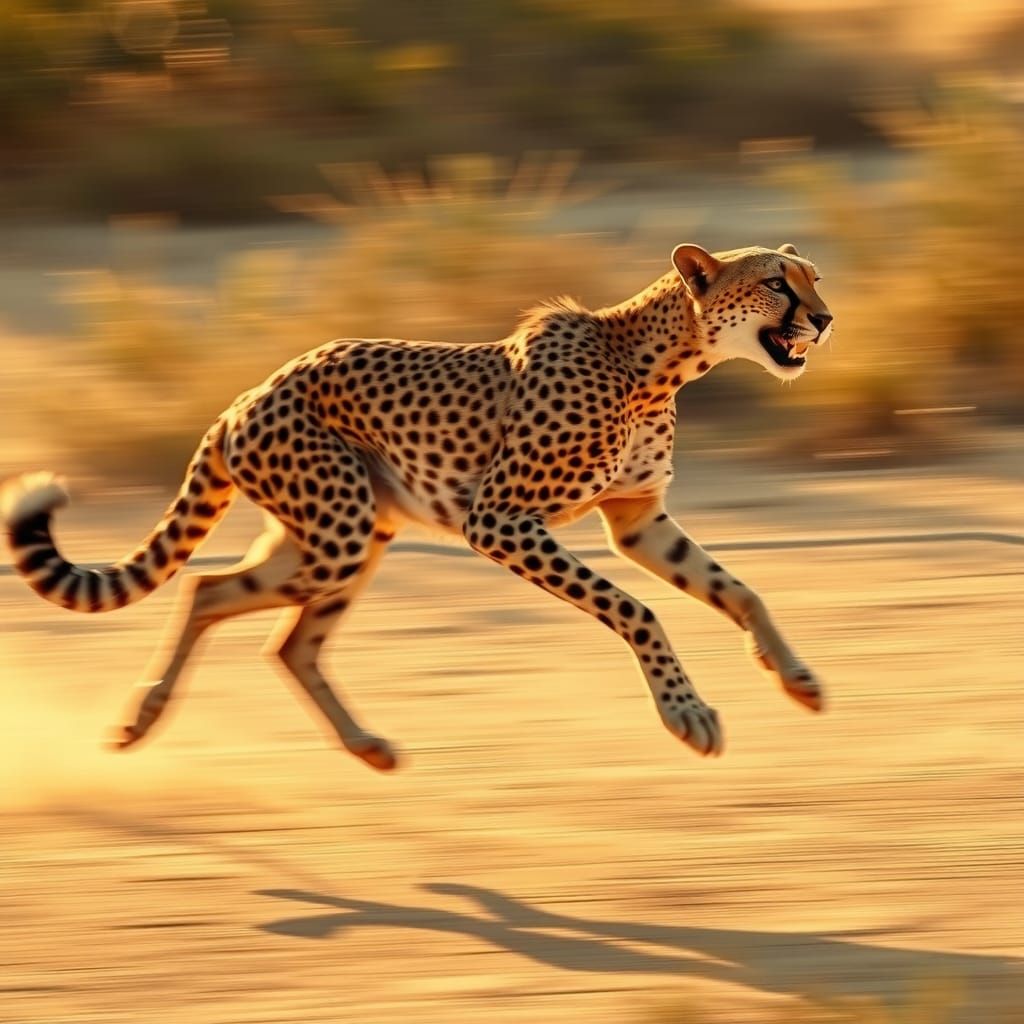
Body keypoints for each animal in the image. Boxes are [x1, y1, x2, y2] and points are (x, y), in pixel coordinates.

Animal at [2, 242, 833, 772]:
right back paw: (147, 715)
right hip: (337, 536)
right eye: (777, 284)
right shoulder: (498, 520)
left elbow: (740, 590)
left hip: (348, 537)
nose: (825, 319)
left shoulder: (638, 521)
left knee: (260, 623)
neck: (657, 364)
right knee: (216, 593)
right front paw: (685, 713)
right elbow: (640, 610)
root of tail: (247, 394)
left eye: (815, 279)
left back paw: (347, 744)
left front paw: (794, 676)